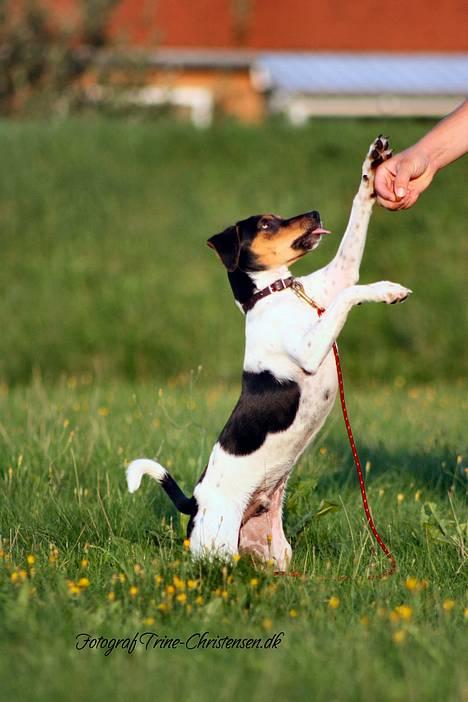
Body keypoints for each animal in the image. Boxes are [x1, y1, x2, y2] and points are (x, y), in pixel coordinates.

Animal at [126, 136, 412, 572]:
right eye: (265, 224)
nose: (314, 212)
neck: (277, 293)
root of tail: (195, 505)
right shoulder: (311, 349)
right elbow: (347, 294)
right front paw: (387, 289)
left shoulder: (340, 273)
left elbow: (353, 236)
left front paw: (373, 165)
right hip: (219, 549)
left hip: (277, 551)